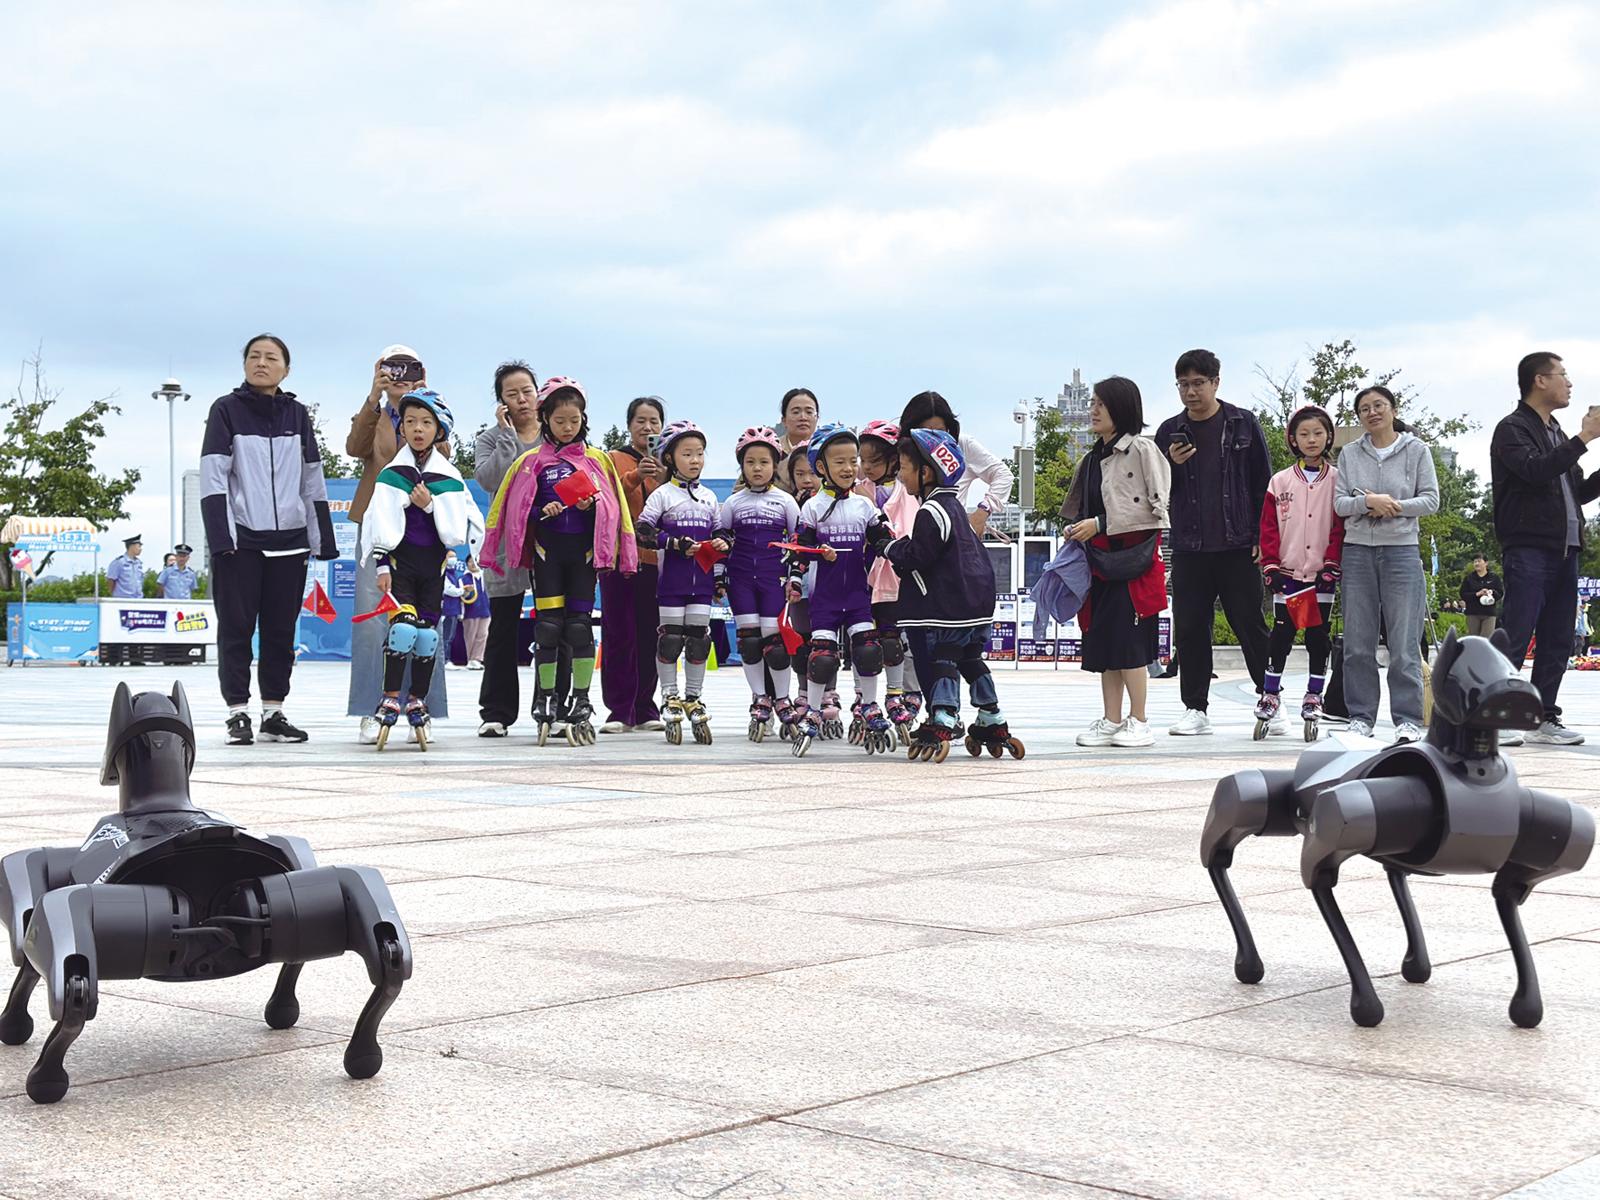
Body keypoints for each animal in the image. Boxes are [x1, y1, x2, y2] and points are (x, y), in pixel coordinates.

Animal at [1, 684, 412, 1107]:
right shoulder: (294, 854)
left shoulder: (46, 883)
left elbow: (27, 948)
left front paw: (14, 1024)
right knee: (384, 964)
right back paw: (353, 1049)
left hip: (76, 910)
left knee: (71, 993)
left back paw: (44, 1075)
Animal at [1203, 630, 1587, 1036]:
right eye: (1467, 664)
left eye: (1509, 664)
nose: (1517, 691)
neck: (1472, 773)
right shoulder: (1344, 816)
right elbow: (1320, 868)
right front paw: (1367, 1005)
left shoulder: (1564, 832)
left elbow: (1511, 890)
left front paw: (1527, 1005)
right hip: (1269, 801)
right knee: (1231, 815)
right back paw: (1249, 961)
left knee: (1396, 873)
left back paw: (1416, 963)